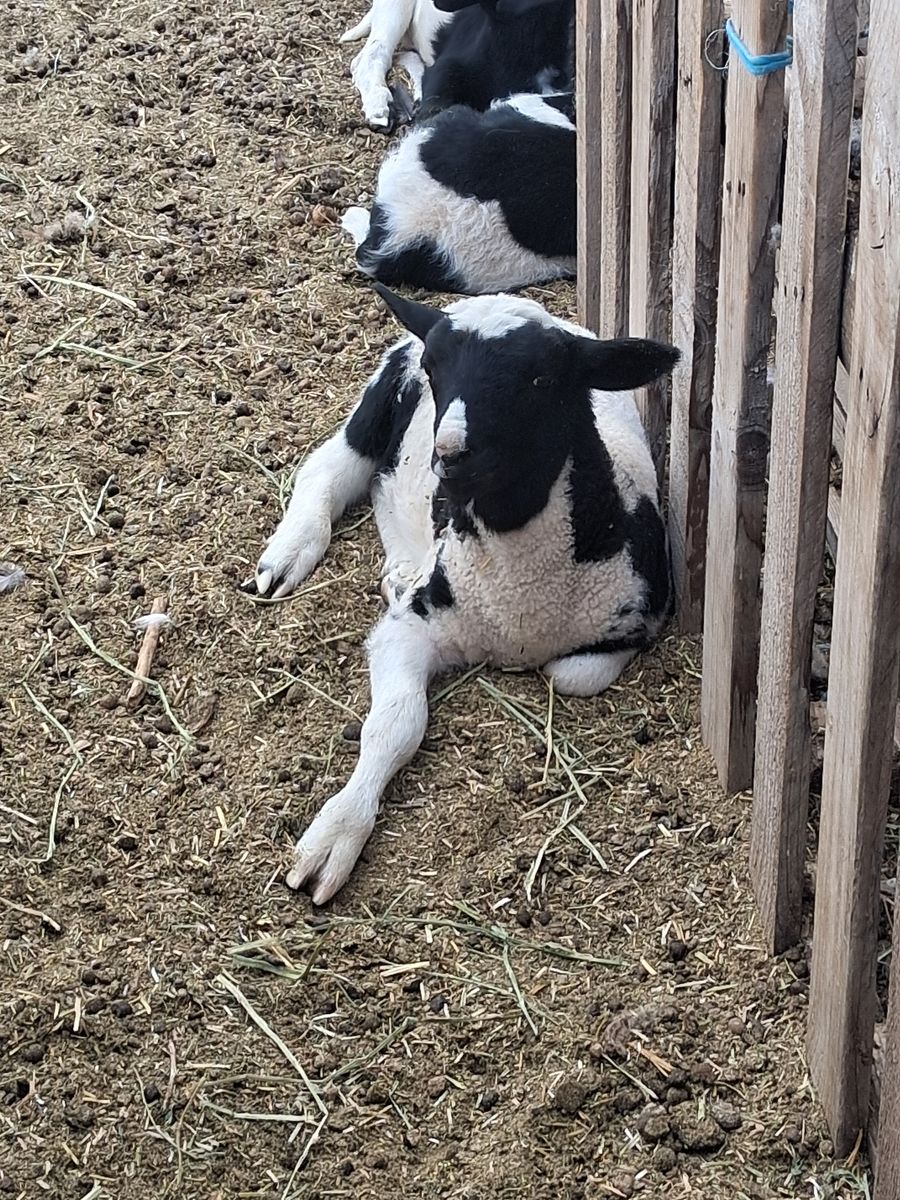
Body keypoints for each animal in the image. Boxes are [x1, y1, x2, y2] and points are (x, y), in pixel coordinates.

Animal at [255, 286, 679, 903]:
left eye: (540, 379)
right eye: (436, 370)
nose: (450, 455)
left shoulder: (639, 620)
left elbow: (570, 675)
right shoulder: (412, 627)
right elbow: (394, 724)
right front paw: (336, 833)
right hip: (377, 404)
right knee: (327, 471)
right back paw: (289, 554)